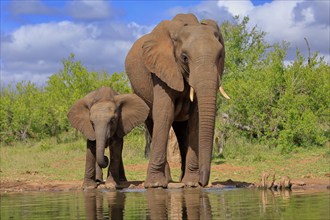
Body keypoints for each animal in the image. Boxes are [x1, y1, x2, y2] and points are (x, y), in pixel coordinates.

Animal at [124, 12, 229, 187]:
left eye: (220, 56)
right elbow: (164, 114)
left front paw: (191, 184)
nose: (203, 182)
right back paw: (166, 180)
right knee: (153, 125)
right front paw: (155, 185)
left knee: (181, 132)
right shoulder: (161, 69)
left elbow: (196, 119)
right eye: (184, 57)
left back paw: (181, 179)